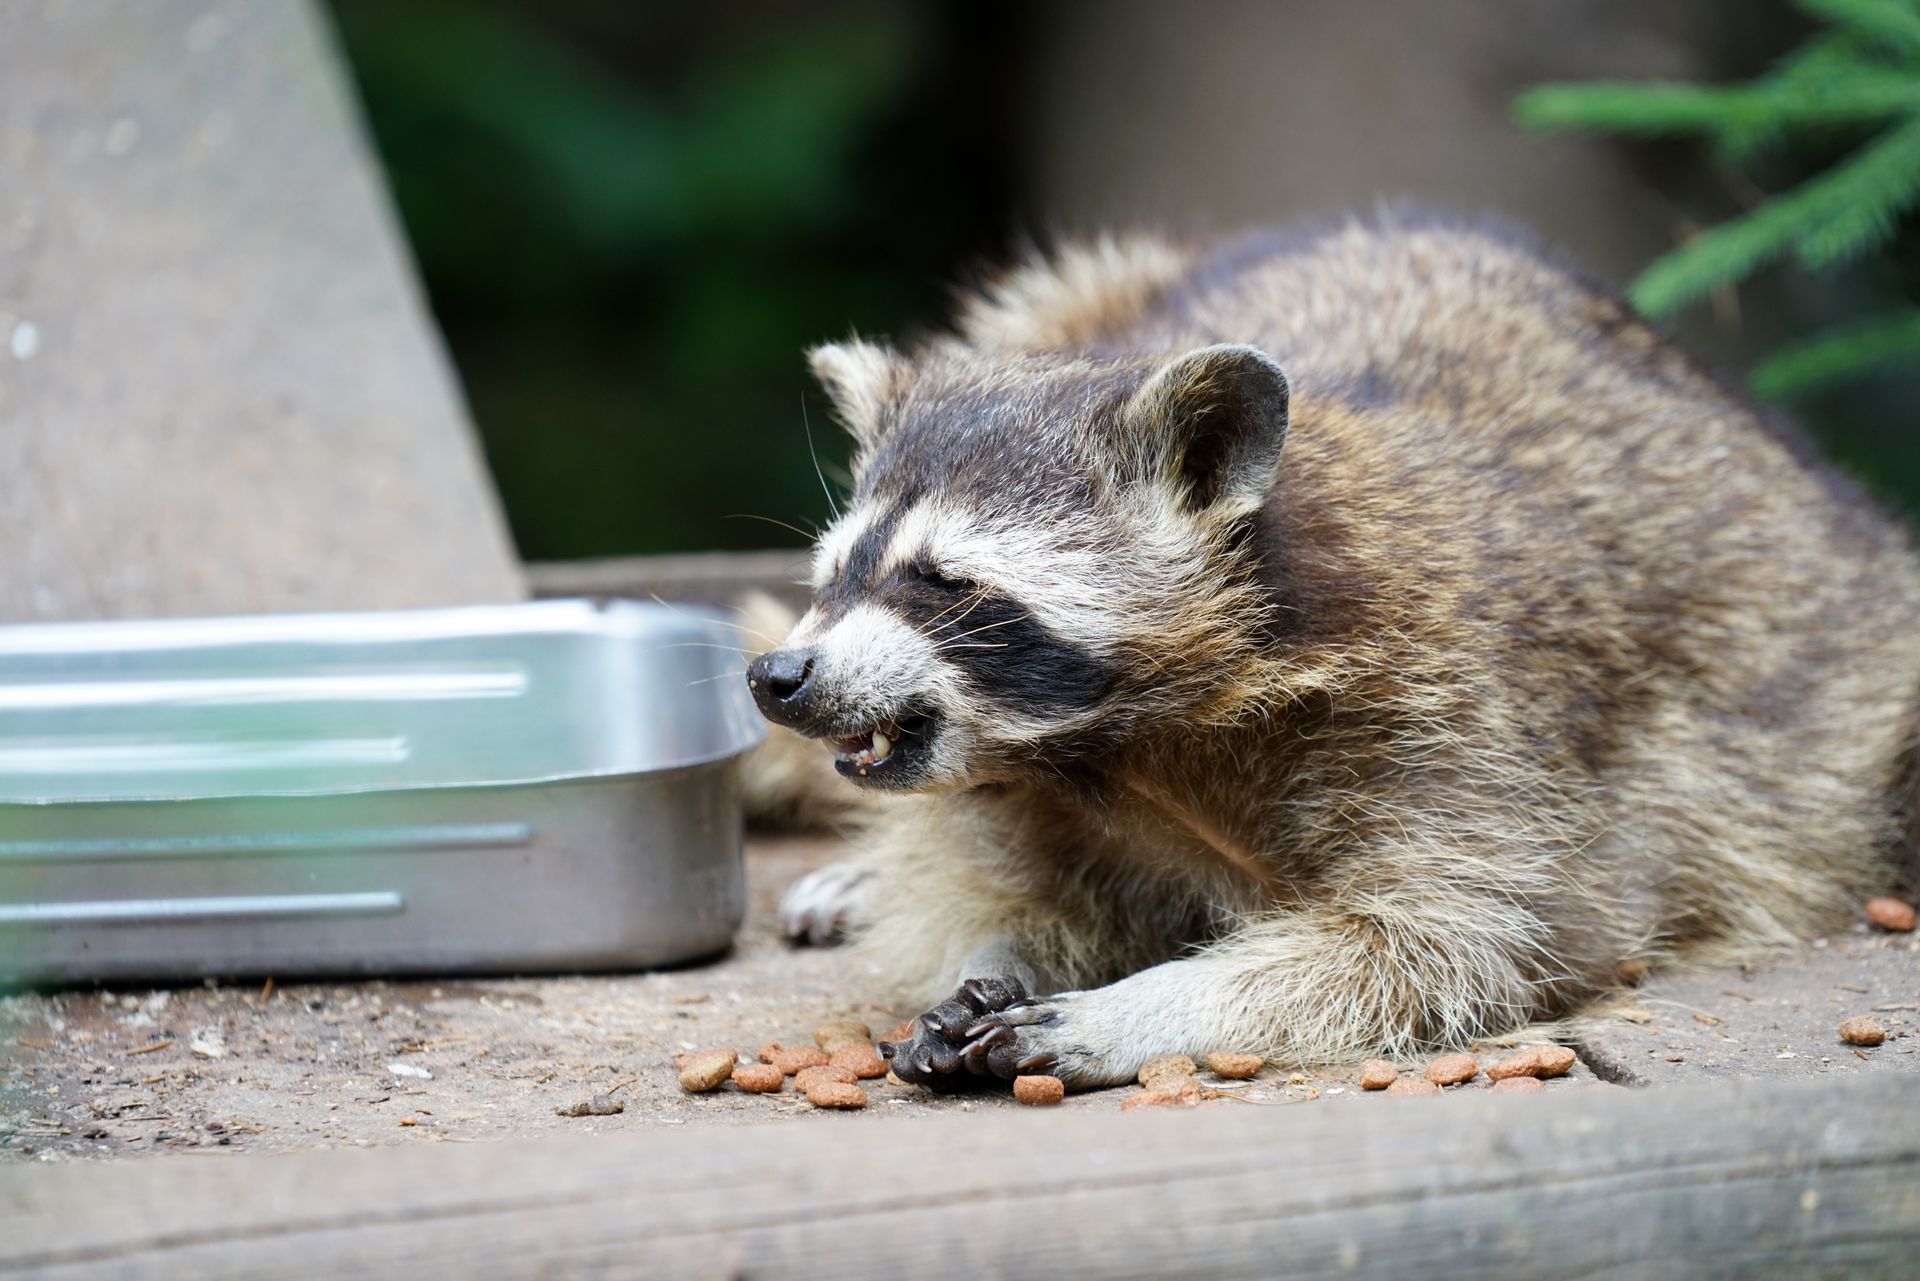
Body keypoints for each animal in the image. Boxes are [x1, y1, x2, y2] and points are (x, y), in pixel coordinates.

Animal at [745, 213, 1920, 1089]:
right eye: (834, 575)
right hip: (1081, 291)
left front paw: (1142, 1008)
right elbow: (1002, 894)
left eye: (943, 583)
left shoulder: (1473, 735)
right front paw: (997, 958)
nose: (777, 677)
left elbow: (1457, 940)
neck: (1110, 752)